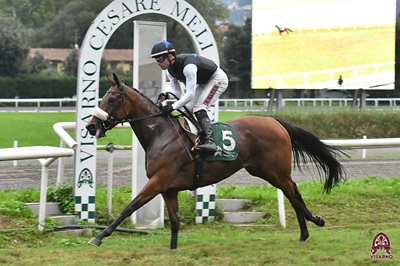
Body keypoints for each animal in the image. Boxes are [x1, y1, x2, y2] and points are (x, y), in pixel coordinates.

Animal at [85, 72, 346, 249]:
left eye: (111, 99)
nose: (91, 126)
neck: (161, 133)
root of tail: (275, 121)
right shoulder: (168, 188)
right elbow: (175, 220)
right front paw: (173, 249)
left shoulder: (158, 181)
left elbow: (130, 206)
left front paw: (98, 237)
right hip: (263, 171)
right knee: (292, 193)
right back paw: (305, 232)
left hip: (277, 171)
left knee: (294, 194)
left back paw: (313, 223)